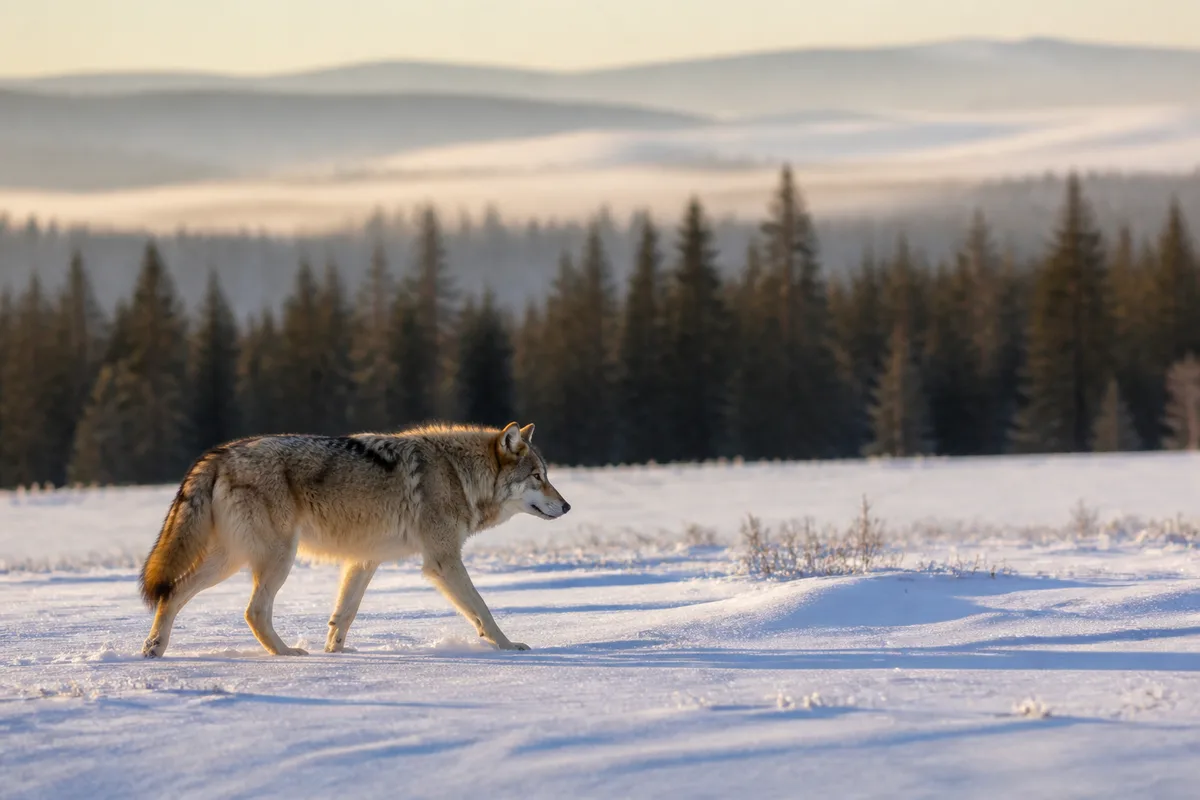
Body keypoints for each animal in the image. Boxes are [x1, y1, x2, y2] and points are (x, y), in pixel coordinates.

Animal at [138, 421, 570, 658]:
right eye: (538, 477)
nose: (566, 506)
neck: (456, 472)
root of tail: (220, 453)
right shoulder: (443, 561)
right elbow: (483, 610)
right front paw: (508, 646)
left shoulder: (364, 561)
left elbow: (343, 616)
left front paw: (336, 654)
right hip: (276, 559)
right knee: (253, 612)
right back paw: (287, 653)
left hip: (231, 560)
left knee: (173, 592)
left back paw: (153, 649)